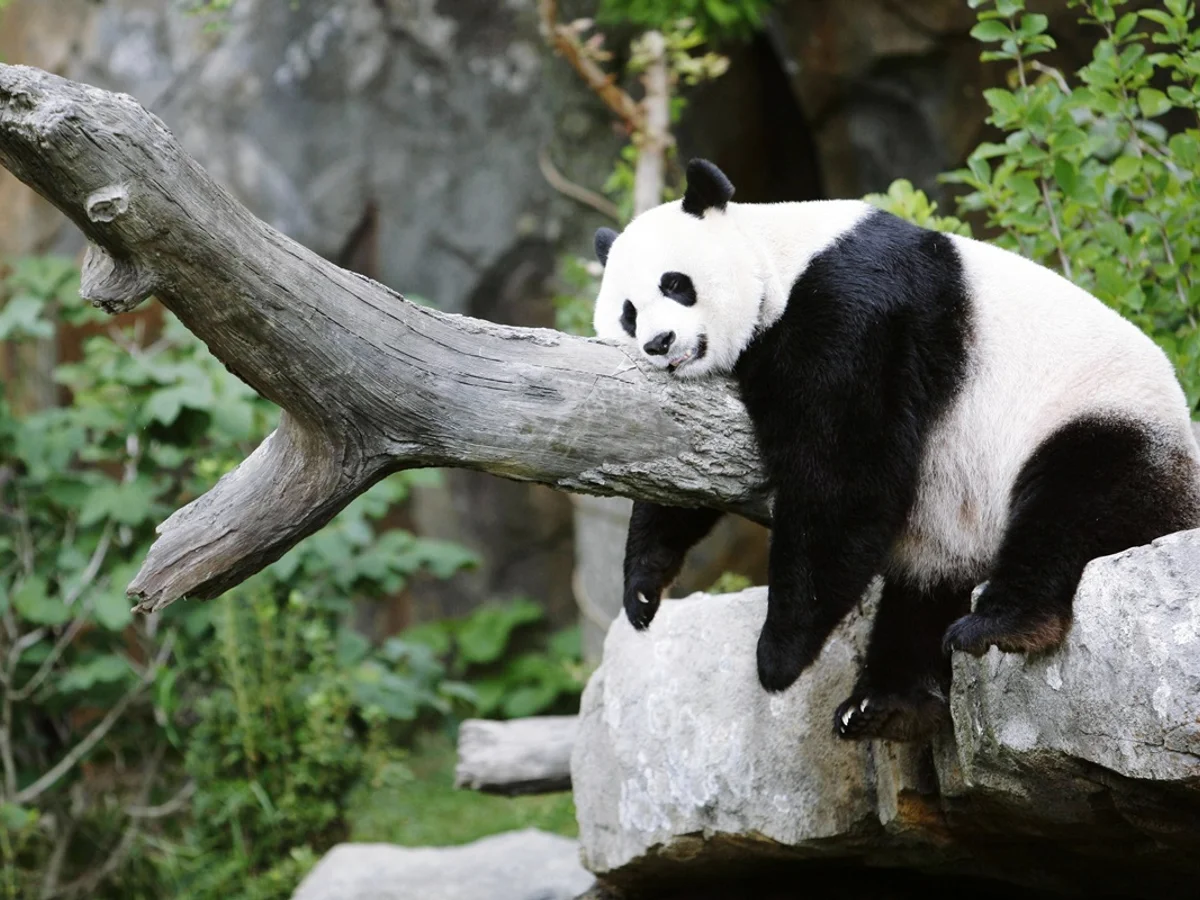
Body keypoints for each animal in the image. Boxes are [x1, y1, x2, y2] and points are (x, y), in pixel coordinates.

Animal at [592, 158, 1200, 743]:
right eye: (628, 312)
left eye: (676, 284)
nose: (659, 343)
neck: (779, 258)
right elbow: (684, 465)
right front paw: (643, 589)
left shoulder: (853, 309)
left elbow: (843, 475)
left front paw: (778, 655)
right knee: (924, 592)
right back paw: (885, 704)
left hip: (1103, 419)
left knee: (1073, 504)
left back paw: (1001, 625)